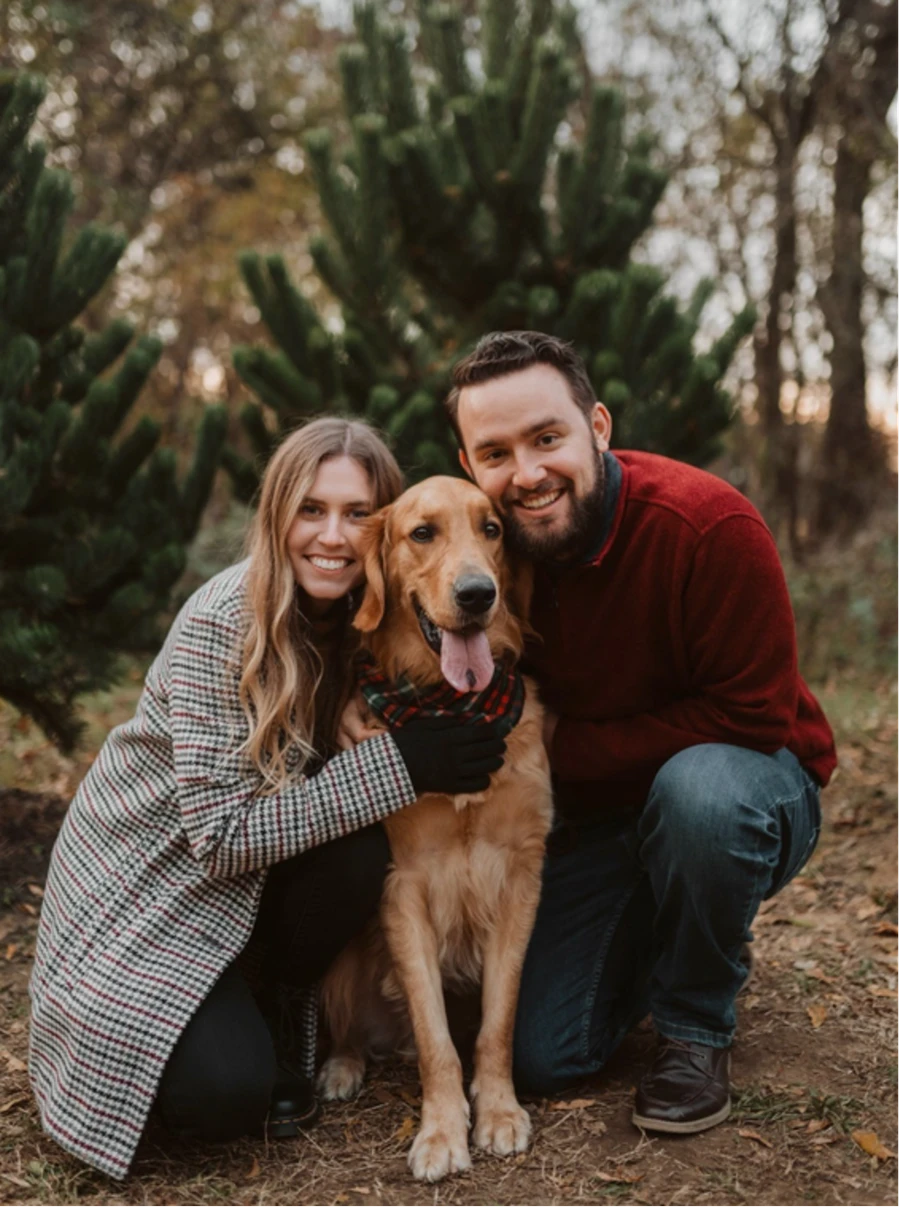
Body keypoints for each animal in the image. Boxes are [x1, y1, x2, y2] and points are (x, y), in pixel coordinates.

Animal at [318, 475, 550, 1182]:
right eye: (422, 533)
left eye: (492, 528)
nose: (478, 594)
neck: (456, 712)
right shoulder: (403, 883)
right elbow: (434, 1037)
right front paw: (443, 1132)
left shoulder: (520, 873)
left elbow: (497, 1023)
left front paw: (497, 1111)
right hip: (345, 957)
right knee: (352, 1027)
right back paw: (341, 1066)